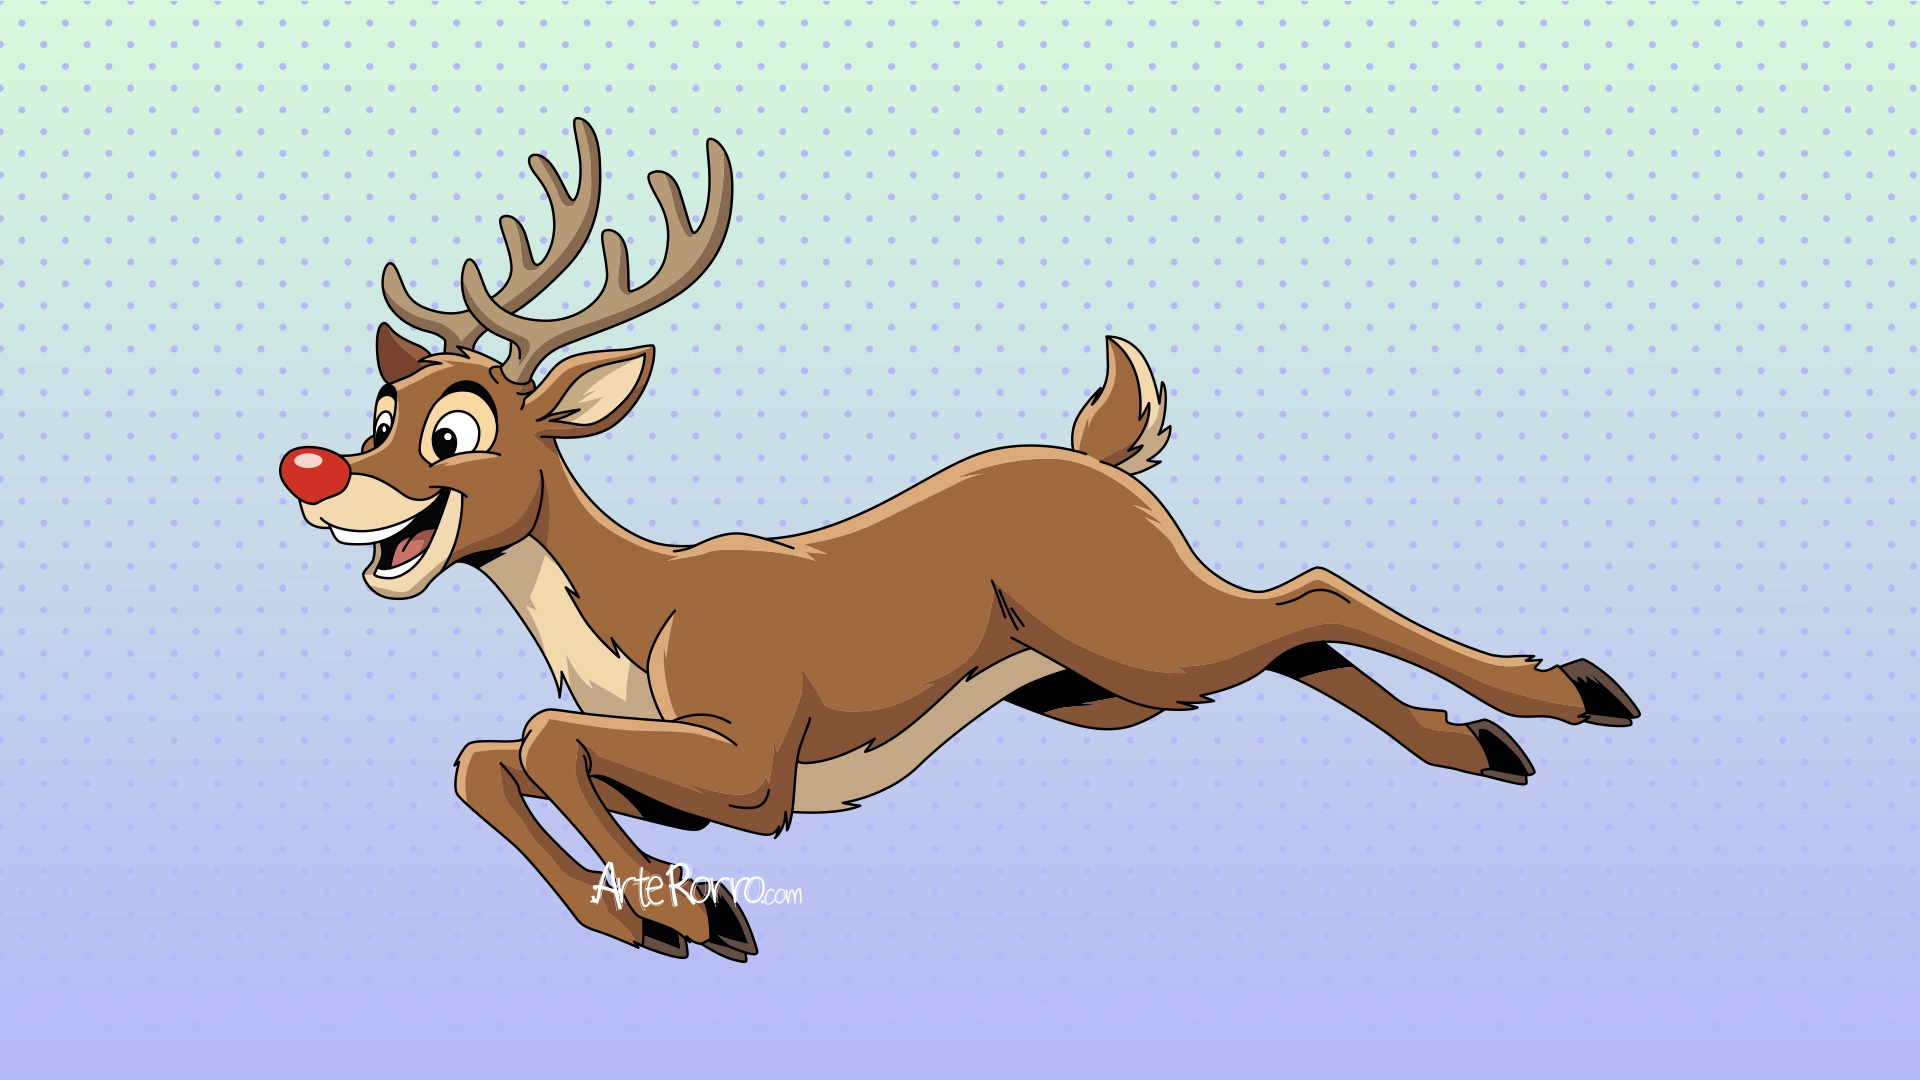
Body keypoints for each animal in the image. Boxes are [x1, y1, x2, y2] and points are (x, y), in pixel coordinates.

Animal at [278, 118, 1640, 963]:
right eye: (381, 410)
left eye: (457, 430)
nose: (315, 476)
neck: (634, 617)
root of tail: (1101, 458)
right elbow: (488, 756)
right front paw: (653, 917)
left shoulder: (757, 759)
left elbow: (542, 739)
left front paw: (698, 910)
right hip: (1096, 689)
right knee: (1294, 644)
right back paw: (1478, 745)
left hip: (1140, 633)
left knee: (1313, 593)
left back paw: (1572, 691)